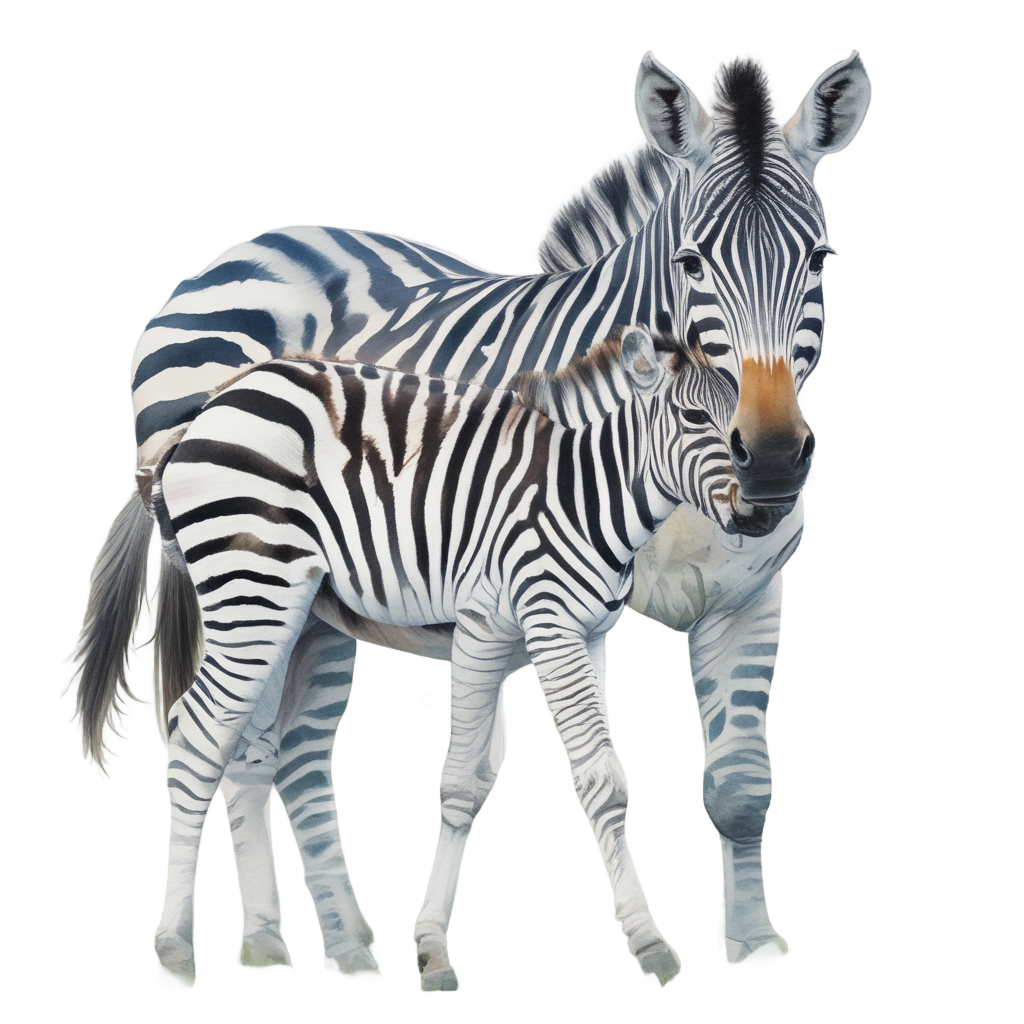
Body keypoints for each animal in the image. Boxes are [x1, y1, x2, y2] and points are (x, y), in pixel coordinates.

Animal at [136, 326, 744, 981]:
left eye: (743, 419)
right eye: (692, 417)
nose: (757, 507)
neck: (582, 492)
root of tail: (216, 401)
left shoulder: (576, 633)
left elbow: (518, 776)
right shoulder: (515, 625)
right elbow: (547, 780)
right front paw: (645, 939)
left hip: (281, 611)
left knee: (243, 748)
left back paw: (264, 942)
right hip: (253, 587)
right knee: (196, 730)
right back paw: (172, 943)